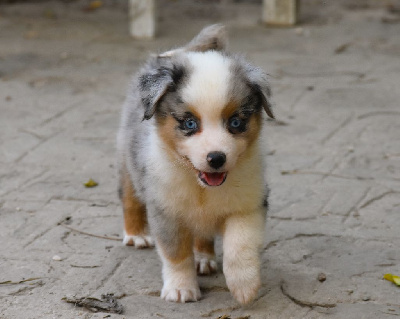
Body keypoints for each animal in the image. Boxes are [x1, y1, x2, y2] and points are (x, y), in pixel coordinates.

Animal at [115, 24, 272, 304]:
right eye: (189, 123)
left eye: (236, 122)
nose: (216, 158)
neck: (202, 189)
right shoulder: (166, 211)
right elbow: (176, 254)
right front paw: (181, 289)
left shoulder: (249, 205)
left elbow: (239, 245)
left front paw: (244, 286)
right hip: (129, 162)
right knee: (129, 199)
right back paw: (136, 235)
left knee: (203, 233)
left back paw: (204, 258)